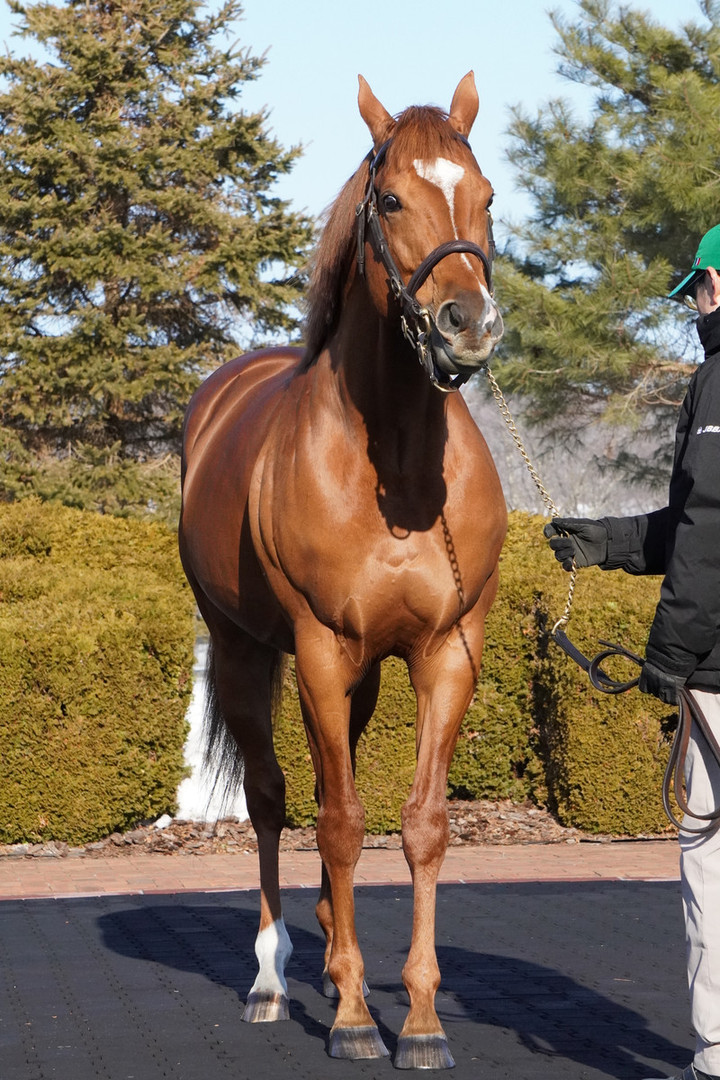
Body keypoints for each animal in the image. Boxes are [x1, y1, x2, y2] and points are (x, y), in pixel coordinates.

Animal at [178, 72, 507, 1069]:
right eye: (391, 198)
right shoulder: (319, 649)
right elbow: (338, 822)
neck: (395, 464)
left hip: (361, 678)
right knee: (274, 799)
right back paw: (273, 977)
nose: (468, 326)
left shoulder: (445, 653)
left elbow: (419, 825)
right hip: (247, 654)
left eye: (486, 198)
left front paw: (423, 1020)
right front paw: (360, 1018)